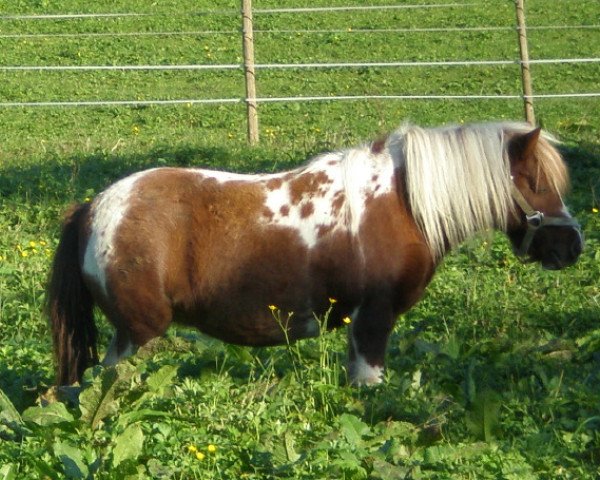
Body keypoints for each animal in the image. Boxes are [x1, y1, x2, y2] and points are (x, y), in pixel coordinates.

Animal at [47, 123, 580, 386]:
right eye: (536, 181)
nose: (572, 246)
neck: (402, 203)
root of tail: (94, 208)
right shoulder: (373, 318)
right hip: (138, 334)